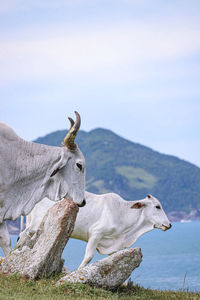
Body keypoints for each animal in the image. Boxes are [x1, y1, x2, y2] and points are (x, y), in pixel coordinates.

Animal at [20, 191, 171, 268]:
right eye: (157, 206)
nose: (169, 225)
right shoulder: (96, 234)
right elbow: (88, 256)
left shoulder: (113, 245)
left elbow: (114, 259)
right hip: (36, 224)